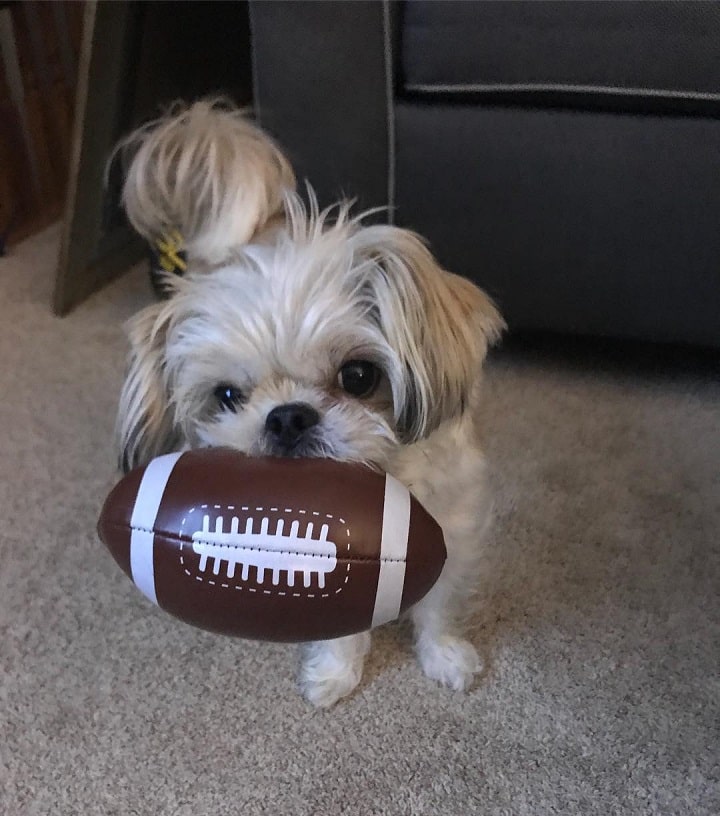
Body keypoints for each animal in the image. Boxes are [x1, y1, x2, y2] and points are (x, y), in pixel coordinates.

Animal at [115, 99, 504, 704]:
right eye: (228, 397)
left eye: (359, 376)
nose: (288, 418)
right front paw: (337, 673)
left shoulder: (456, 525)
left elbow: (439, 605)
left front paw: (443, 655)